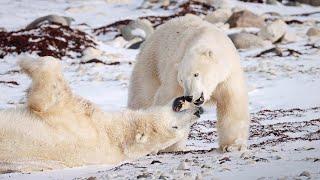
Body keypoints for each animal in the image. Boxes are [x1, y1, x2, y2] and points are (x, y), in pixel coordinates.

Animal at [0, 57, 200, 172]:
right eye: (176, 127)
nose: (197, 112)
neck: (114, 134)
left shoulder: (76, 118)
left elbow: (50, 94)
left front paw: (25, 61)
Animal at [127, 15, 250, 153]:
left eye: (196, 74)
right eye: (181, 79)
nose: (189, 97)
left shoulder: (227, 76)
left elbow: (232, 104)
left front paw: (233, 145)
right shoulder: (175, 70)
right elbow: (168, 99)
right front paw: (170, 145)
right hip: (151, 63)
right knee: (142, 95)